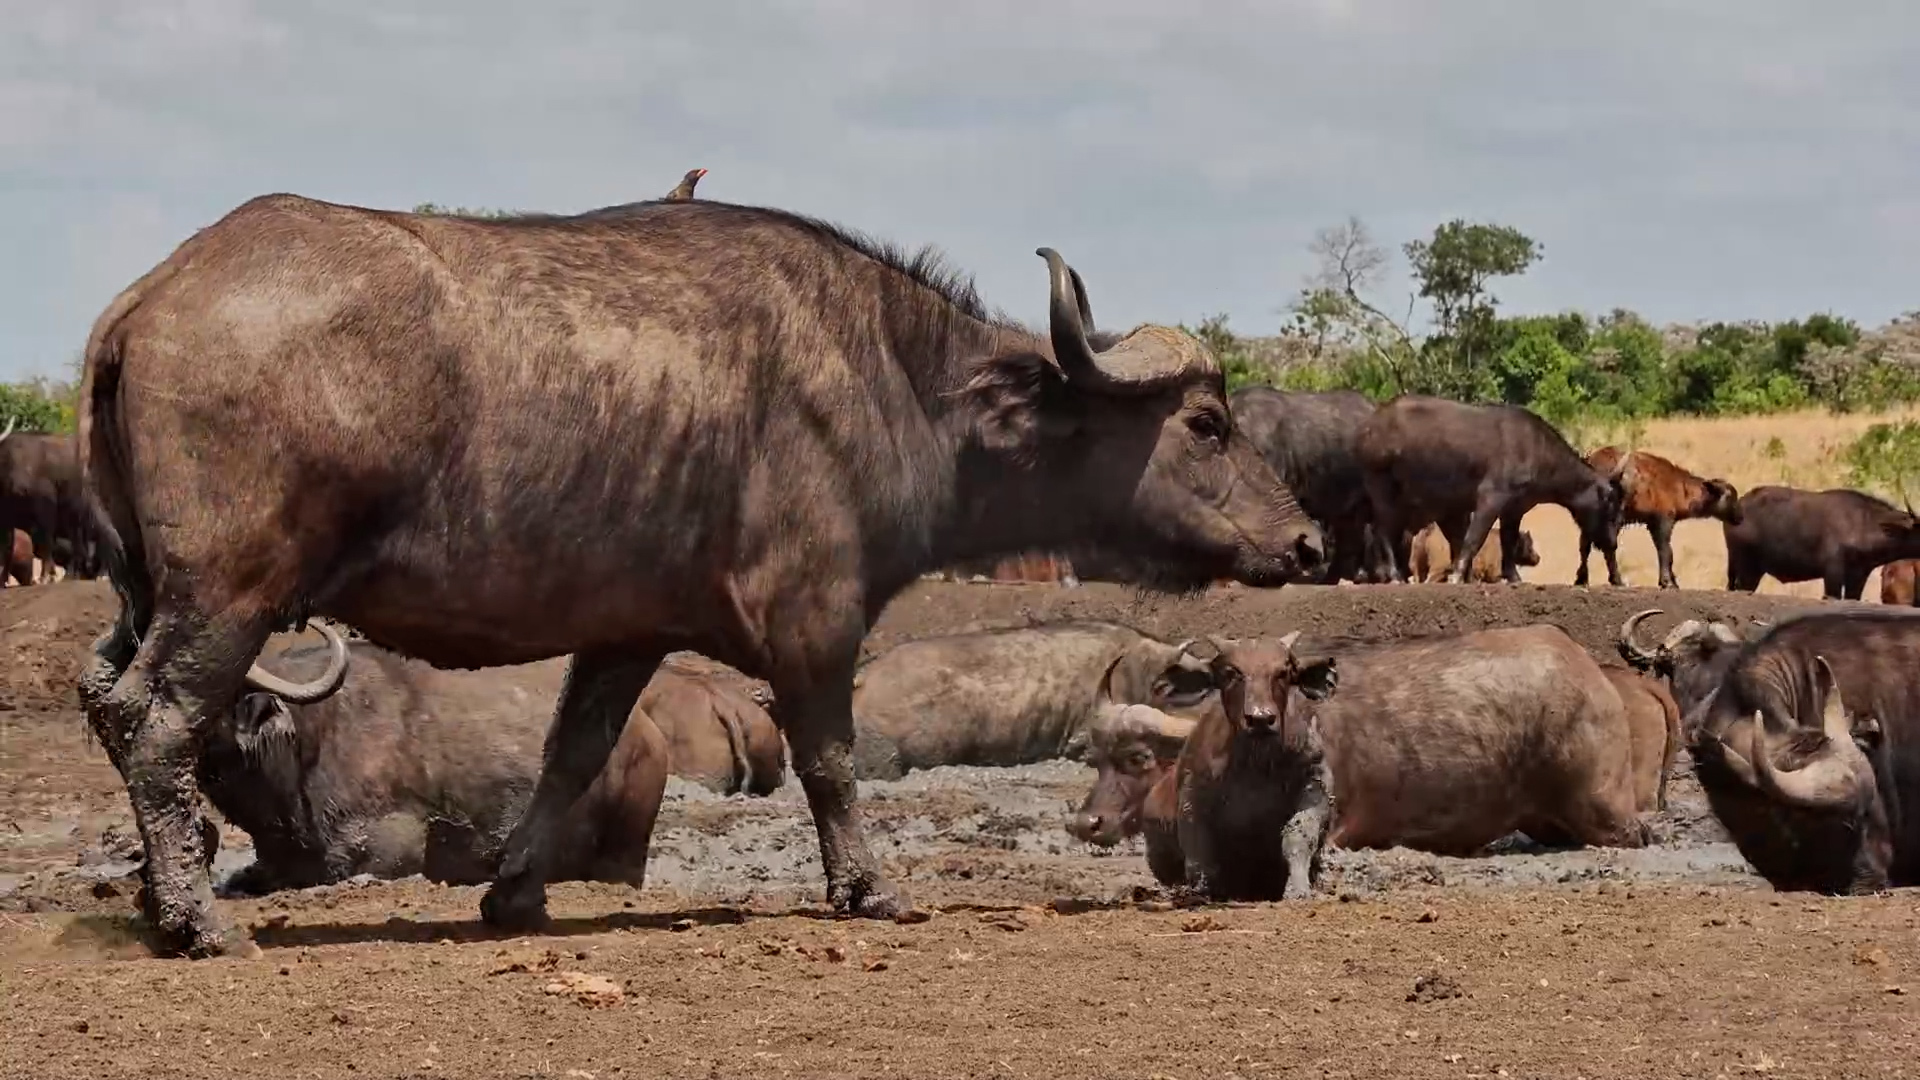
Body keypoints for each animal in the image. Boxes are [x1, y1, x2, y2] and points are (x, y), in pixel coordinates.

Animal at [1357, 396, 1624, 585]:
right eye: (1612, 511)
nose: (1612, 544)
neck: (1534, 447)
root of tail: (1371, 425)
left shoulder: (1515, 508)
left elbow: (1508, 540)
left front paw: (1513, 576)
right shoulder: (1491, 499)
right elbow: (1474, 538)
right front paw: (1458, 576)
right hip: (1383, 490)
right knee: (1383, 530)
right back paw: (1395, 575)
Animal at [1579, 447, 1741, 589]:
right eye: (1730, 497)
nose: (1739, 517)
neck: (1679, 485)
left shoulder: (1653, 524)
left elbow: (1666, 552)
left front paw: (1673, 582)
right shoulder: (1663, 522)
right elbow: (1666, 552)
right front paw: (1667, 582)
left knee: (1585, 546)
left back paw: (1582, 580)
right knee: (1607, 547)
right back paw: (1616, 581)